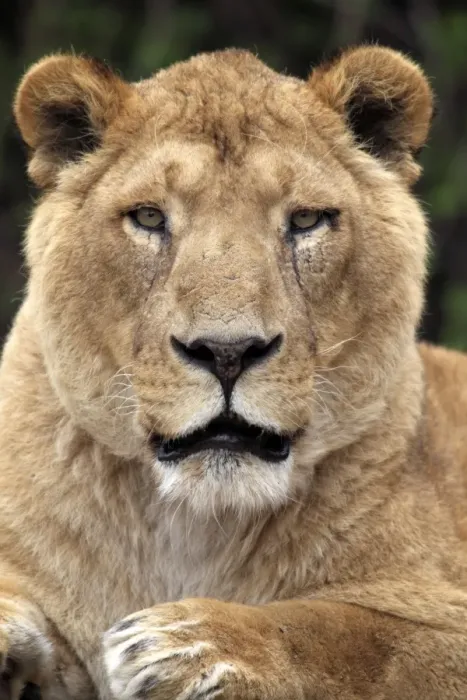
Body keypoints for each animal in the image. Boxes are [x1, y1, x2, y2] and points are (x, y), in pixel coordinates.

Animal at [0, 42, 467, 700]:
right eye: (149, 218)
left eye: (306, 221)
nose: (227, 351)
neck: (194, 523)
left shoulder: (436, 613)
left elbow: (358, 632)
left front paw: (194, 640)